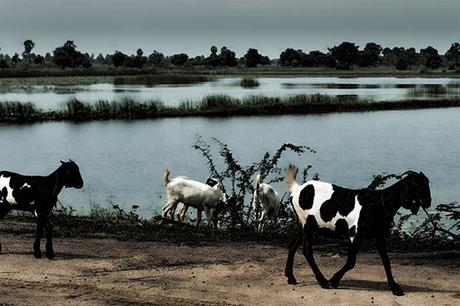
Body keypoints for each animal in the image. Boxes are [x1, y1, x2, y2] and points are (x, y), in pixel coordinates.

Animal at [284, 165, 432, 296]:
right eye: (416, 184)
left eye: (427, 182)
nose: (428, 201)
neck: (379, 203)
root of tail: (297, 190)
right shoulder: (355, 235)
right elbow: (351, 262)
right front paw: (334, 280)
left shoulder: (380, 236)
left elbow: (386, 261)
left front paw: (395, 288)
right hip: (307, 224)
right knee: (307, 251)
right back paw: (323, 281)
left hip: (303, 225)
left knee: (292, 246)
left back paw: (291, 277)